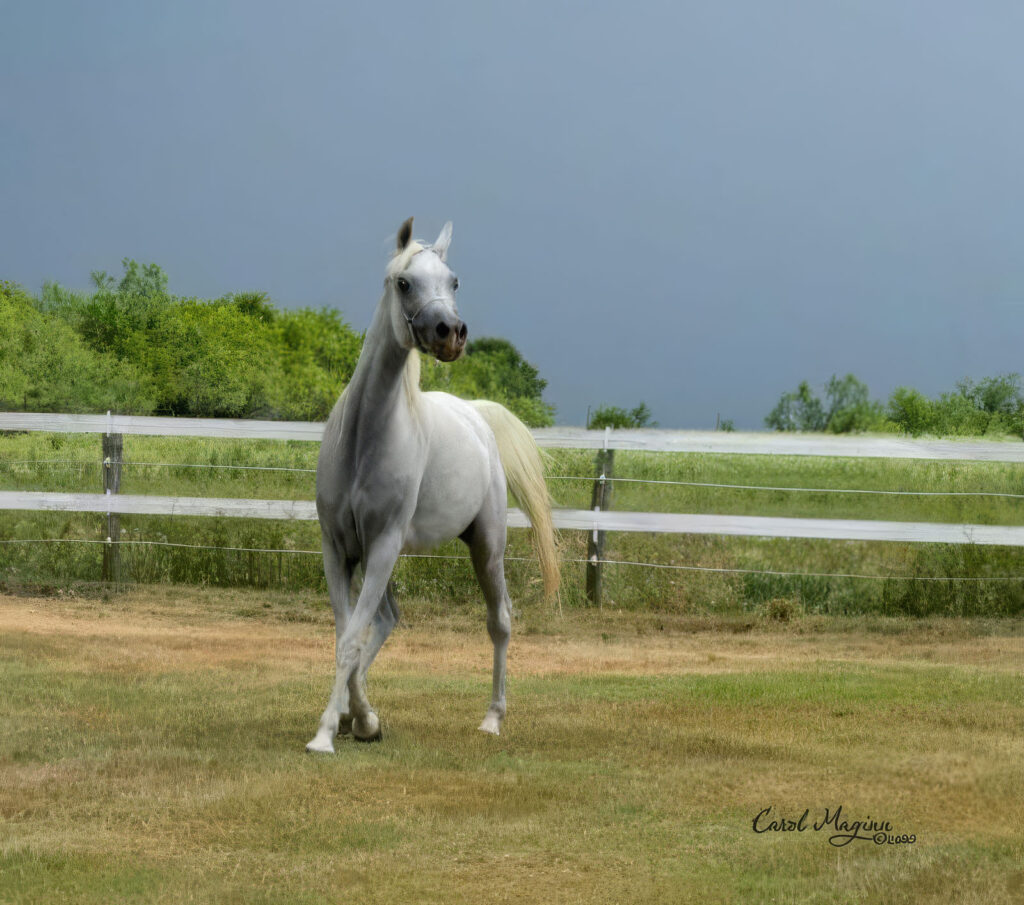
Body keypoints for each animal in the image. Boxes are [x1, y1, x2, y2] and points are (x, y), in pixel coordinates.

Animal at [306, 217, 559, 753]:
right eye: (404, 282)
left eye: (454, 281)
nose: (452, 334)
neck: (362, 439)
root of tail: (476, 415)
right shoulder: (338, 547)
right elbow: (346, 633)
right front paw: (359, 718)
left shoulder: (383, 544)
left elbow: (352, 638)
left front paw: (326, 733)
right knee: (386, 619)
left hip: (486, 547)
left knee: (499, 621)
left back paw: (492, 718)